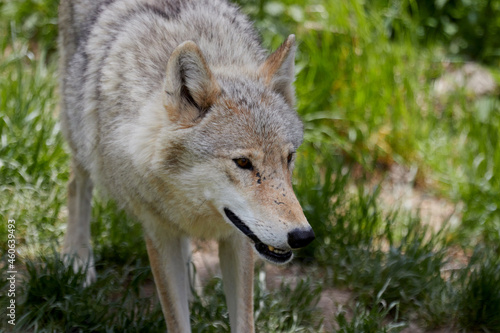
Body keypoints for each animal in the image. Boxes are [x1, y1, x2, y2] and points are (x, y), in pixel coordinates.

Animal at [58, 0, 314, 330]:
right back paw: (77, 259)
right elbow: (176, 319)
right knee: (76, 184)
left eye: (289, 158)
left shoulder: (239, 239)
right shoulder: (158, 233)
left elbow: (244, 320)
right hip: (81, 134)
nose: (303, 236)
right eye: (243, 162)